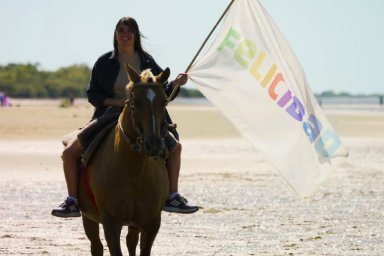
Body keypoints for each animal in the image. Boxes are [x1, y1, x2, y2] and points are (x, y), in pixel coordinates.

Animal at [79, 63, 170, 255]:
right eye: (135, 103)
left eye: (164, 102)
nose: (153, 145)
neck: (132, 170)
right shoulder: (111, 223)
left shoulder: (151, 224)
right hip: (88, 217)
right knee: (96, 246)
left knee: (131, 241)